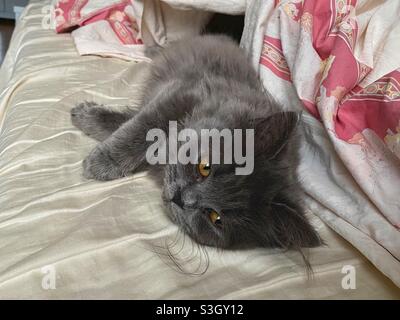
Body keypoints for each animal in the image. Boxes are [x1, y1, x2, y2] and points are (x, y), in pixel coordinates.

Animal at [71, 34, 322, 255]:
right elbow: (140, 127)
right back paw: (149, 48)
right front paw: (97, 150)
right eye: (205, 167)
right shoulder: (183, 92)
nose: (181, 198)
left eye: (215, 218)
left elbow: (132, 125)